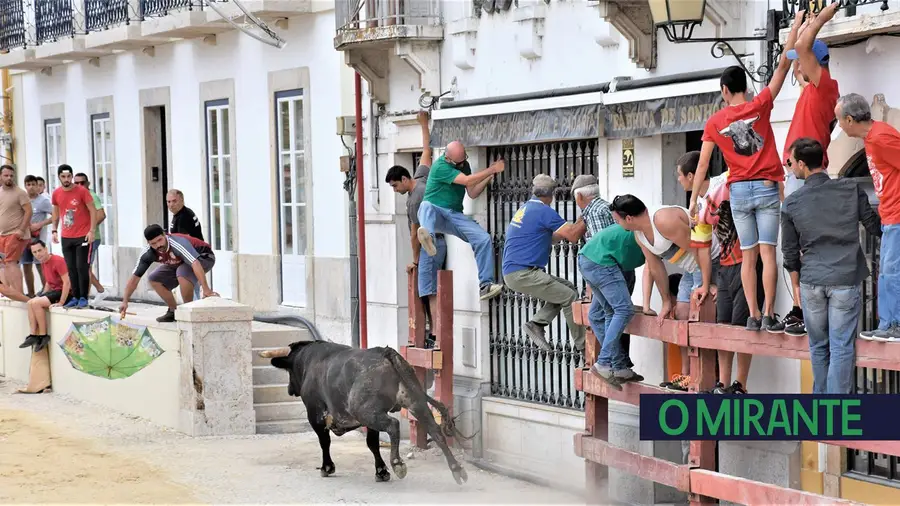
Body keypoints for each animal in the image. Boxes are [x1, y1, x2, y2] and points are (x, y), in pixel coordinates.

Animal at [260, 342, 472, 484]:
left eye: (289, 371)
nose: (290, 390)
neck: (309, 359)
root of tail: (385, 352)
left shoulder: (315, 414)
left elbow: (324, 441)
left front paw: (327, 467)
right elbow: (372, 444)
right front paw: (381, 471)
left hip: (364, 411)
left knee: (393, 425)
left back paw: (397, 463)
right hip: (415, 403)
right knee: (435, 431)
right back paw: (457, 470)